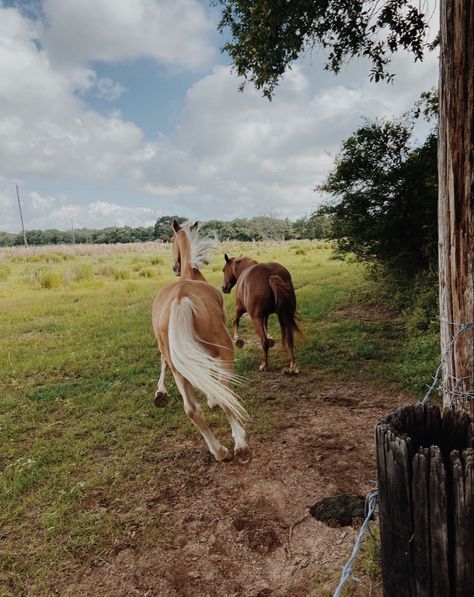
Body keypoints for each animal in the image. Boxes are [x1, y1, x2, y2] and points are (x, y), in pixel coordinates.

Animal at [153, 221, 252, 464]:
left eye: (170, 240)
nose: (175, 267)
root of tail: (181, 299)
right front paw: (212, 398)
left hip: (177, 367)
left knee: (191, 409)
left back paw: (219, 451)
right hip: (225, 353)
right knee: (227, 396)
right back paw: (240, 444)